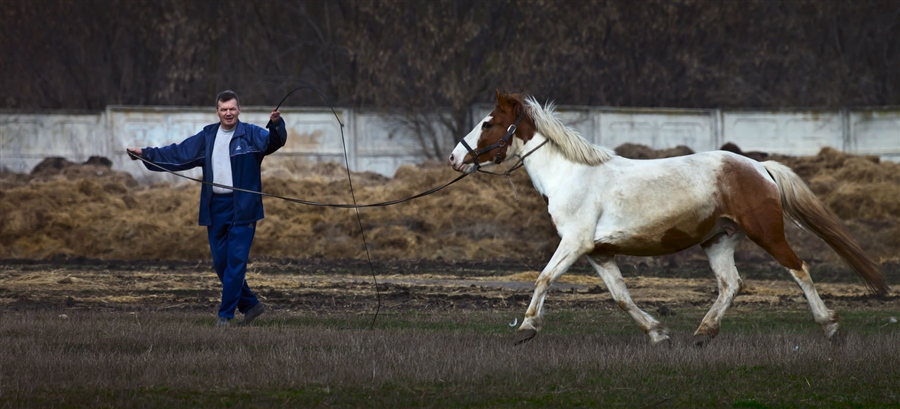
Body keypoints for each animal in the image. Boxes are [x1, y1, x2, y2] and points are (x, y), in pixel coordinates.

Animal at [448, 89, 884, 344]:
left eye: (488, 122)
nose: (455, 158)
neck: (570, 174)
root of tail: (760, 167)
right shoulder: (598, 253)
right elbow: (621, 297)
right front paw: (658, 332)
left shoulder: (574, 243)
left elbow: (543, 278)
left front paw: (526, 328)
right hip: (718, 240)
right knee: (732, 284)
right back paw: (703, 333)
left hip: (767, 233)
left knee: (799, 270)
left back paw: (829, 325)